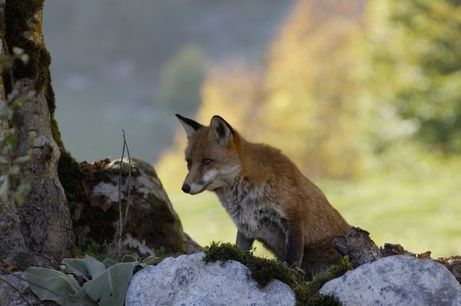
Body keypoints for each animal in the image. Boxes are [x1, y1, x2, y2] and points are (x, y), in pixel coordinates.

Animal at [175, 114, 348, 278]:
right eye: (189, 163)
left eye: (207, 161)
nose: (185, 187)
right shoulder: (245, 227)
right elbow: (239, 251)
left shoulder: (293, 216)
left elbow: (293, 259)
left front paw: (290, 275)